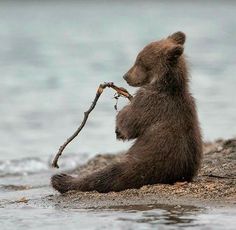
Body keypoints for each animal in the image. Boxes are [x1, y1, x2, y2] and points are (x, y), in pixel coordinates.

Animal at [51, 31, 203, 194]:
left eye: (139, 61)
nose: (125, 76)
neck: (167, 84)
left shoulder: (149, 102)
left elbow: (130, 122)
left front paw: (119, 126)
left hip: (139, 166)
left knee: (104, 176)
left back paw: (61, 179)